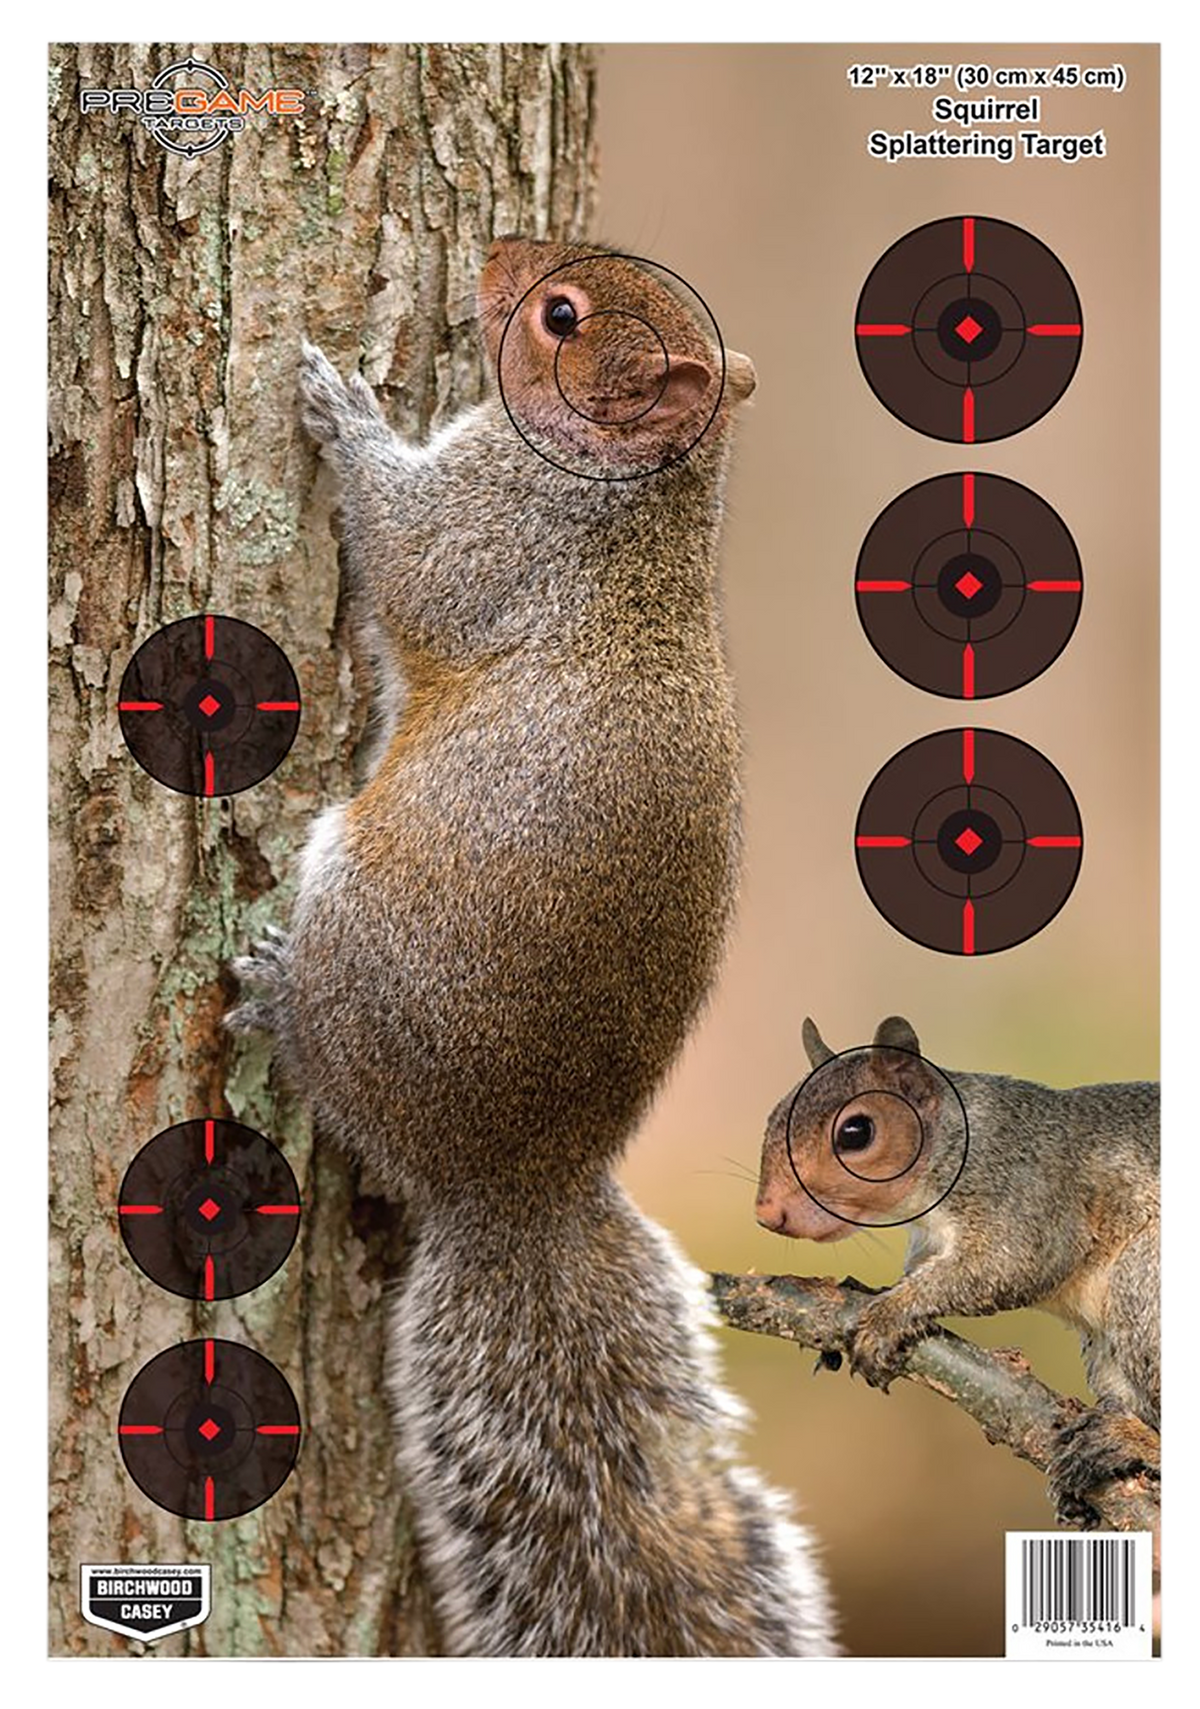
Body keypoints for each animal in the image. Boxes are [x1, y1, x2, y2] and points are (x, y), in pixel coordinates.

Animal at [231, 238, 835, 1657]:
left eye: (562, 316)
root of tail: (515, 1181)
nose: (497, 260)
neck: (639, 501)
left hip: (362, 925)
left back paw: (275, 999)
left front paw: (343, 409)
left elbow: (403, 551)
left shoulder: (488, 536)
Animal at [756, 1015, 1162, 1523]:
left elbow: (1013, 1264)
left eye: (855, 1132)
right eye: (773, 1116)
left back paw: (1133, 1442)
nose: (768, 1213)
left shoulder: (1027, 1194)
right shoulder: (929, 1241)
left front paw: (886, 1317)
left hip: (1143, 1282)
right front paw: (869, 1292)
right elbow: (920, 1270)